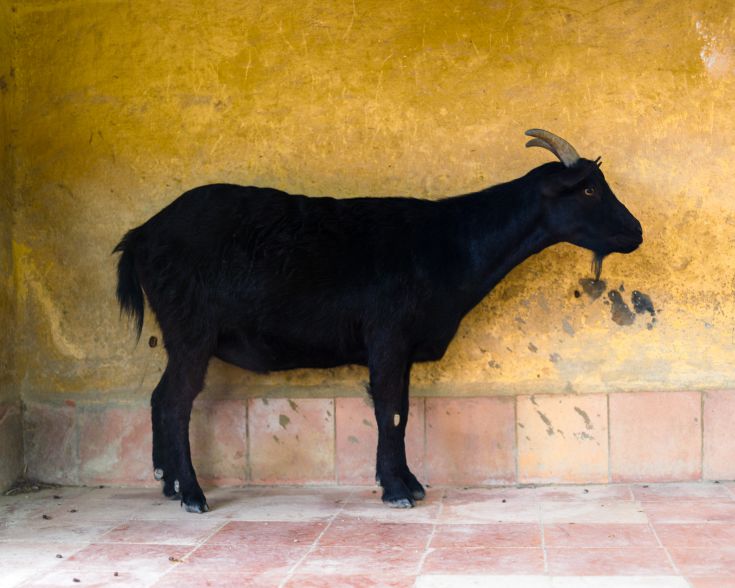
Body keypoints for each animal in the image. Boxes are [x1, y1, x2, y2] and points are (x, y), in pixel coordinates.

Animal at [114, 129, 642, 513]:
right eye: (589, 188)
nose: (636, 232)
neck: (451, 243)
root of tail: (142, 233)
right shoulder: (388, 336)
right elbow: (391, 409)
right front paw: (397, 490)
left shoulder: (402, 347)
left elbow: (400, 409)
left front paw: (408, 480)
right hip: (192, 331)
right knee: (176, 403)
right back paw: (192, 494)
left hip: (180, 336)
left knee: (160, 396)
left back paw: (167, 482)